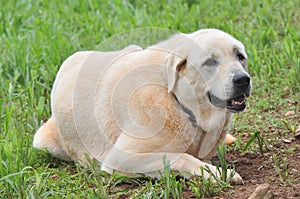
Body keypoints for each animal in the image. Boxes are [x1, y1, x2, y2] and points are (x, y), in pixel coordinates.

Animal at [34, 28, 252, 184]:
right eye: (210, 62)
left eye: (240, 56)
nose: (243, 79)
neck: (177, 101)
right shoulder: (121, 158)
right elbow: (182, 157)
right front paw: (221, 174)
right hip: (43, 141)